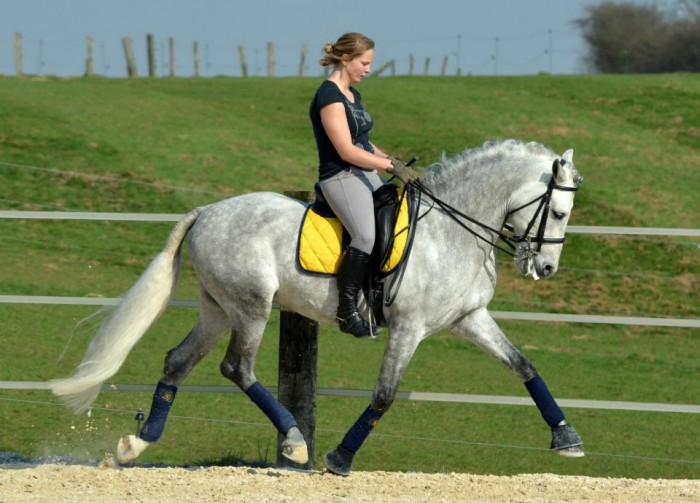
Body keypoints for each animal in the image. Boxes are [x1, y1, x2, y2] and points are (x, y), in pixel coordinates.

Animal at [50, 139, 584, 476]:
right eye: (558, 212)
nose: (546, 268)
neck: (449, 231)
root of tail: (207, 213)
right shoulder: (408, 327)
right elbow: (384, 395)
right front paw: (340, 459)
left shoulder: (469, 319)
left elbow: (524, 365)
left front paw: (566, 437)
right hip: (251, 306)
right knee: (237, 368)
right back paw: (293, 442)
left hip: (218, 309)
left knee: (178, 361)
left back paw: (136, 444)